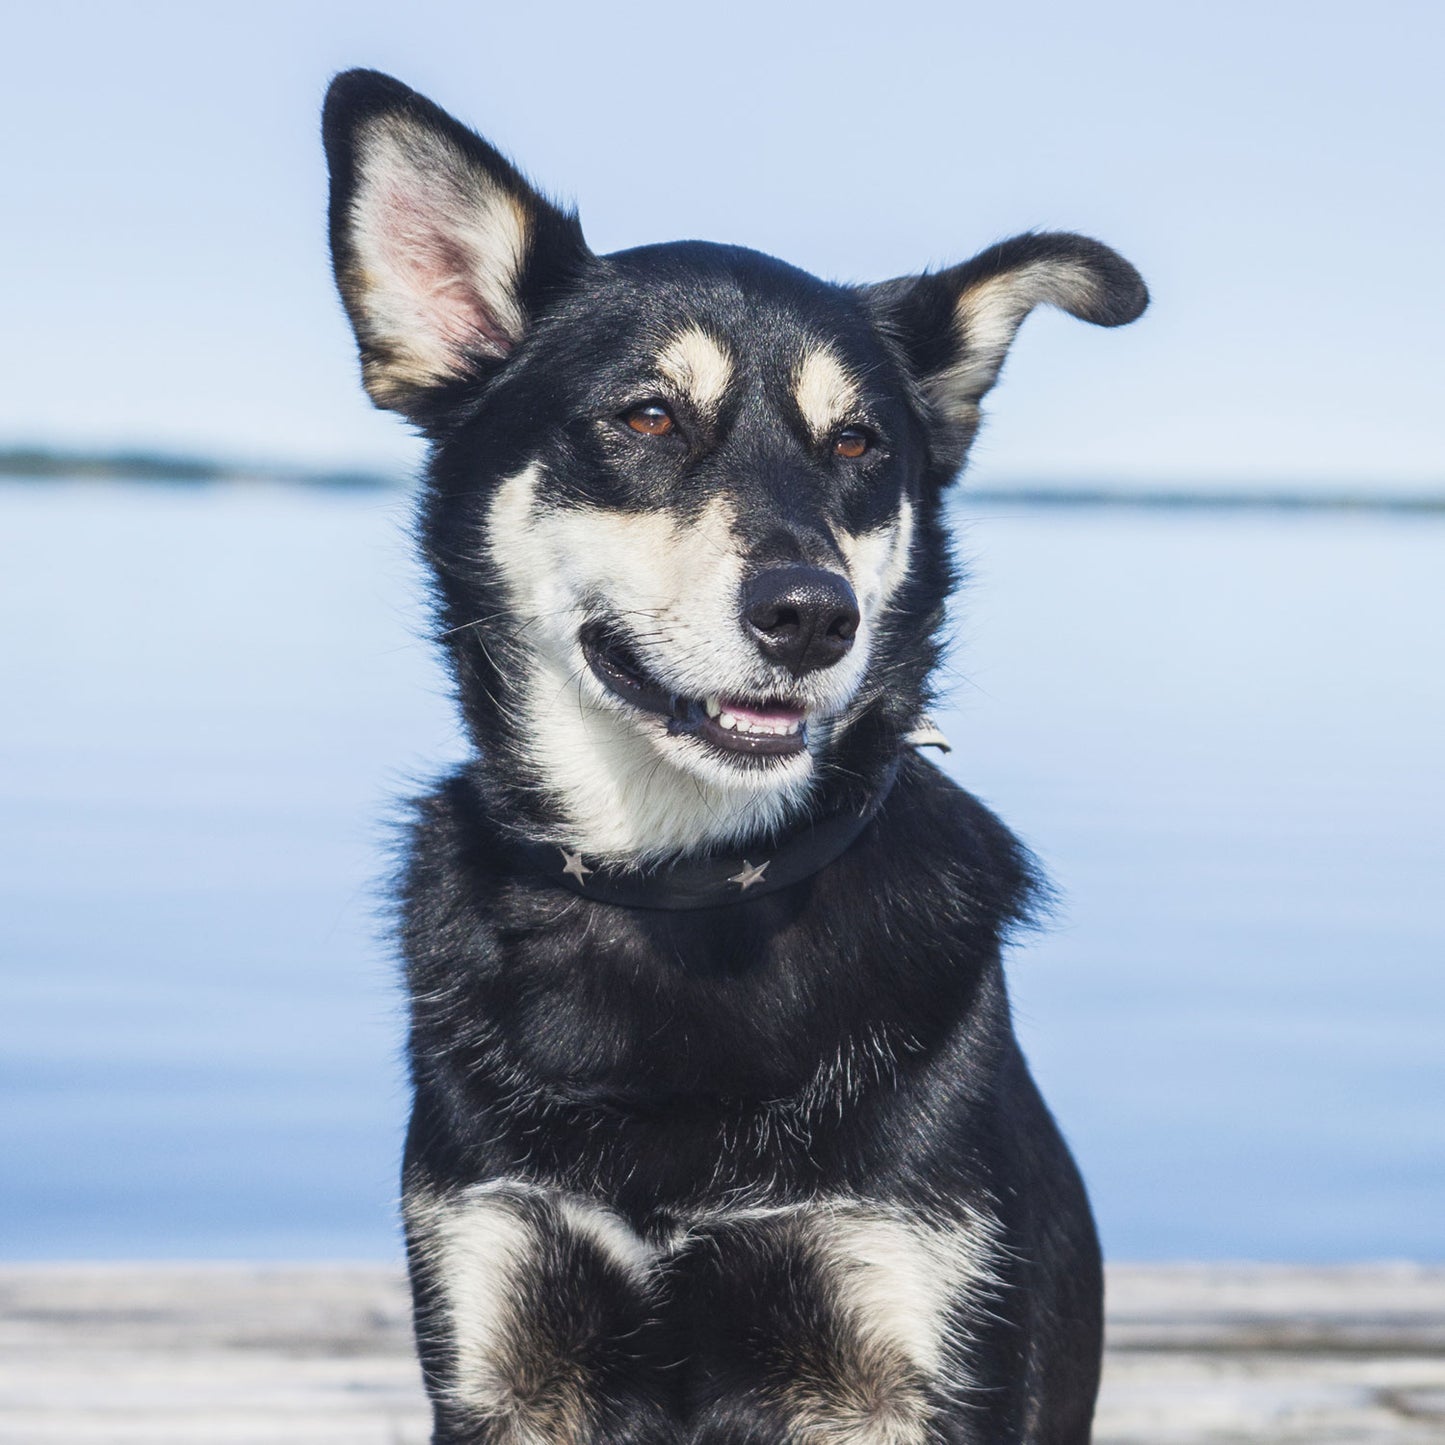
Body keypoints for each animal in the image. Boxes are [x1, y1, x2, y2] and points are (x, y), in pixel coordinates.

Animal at [325, 67, 1150, 1445]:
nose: (813, 615)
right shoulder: (502, 1327)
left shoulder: (908, 1332)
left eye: (859, 444)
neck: (689, 889)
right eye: (648, 415)